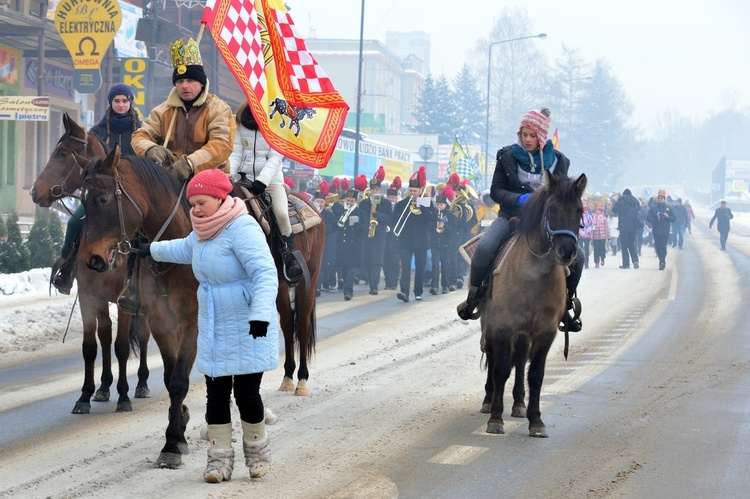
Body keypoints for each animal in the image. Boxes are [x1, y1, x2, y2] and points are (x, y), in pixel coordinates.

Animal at [30, 113, 151, 414]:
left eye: (63, 153)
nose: (35, 192)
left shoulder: (125, 298)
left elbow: (122, 345)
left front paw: (123, 396)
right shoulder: (89, 295)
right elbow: (92, 345)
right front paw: (86, 395)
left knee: (142, 335)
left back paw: (142, 383)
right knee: (106, 335)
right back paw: (104, 387)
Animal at [79, 146, 198, 468]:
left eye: (102, 199)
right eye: (81, 201)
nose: (92, 259)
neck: (176, 252)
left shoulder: (193, 321)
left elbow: (180, 379)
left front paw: (172, 442)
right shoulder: (161, 321)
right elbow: (171, 379)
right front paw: (176, 434)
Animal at [235, 186, 326, 396]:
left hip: (309, 281)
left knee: (301, 325)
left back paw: (302, 381)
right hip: (281, 287)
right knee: (287, 323)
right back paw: (287, 377)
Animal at [482, 171, 588, 438]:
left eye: (580, 210)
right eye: (551, 208)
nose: (567, 252)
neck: (534, 277)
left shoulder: (545, 331)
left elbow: (536, 375)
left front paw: (536, 421)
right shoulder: (504, 325)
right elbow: (501, 369)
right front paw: (496, 419)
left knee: (520, 360)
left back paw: (519, 403)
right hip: (489, 323)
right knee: (493, 356)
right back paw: (488, 400)